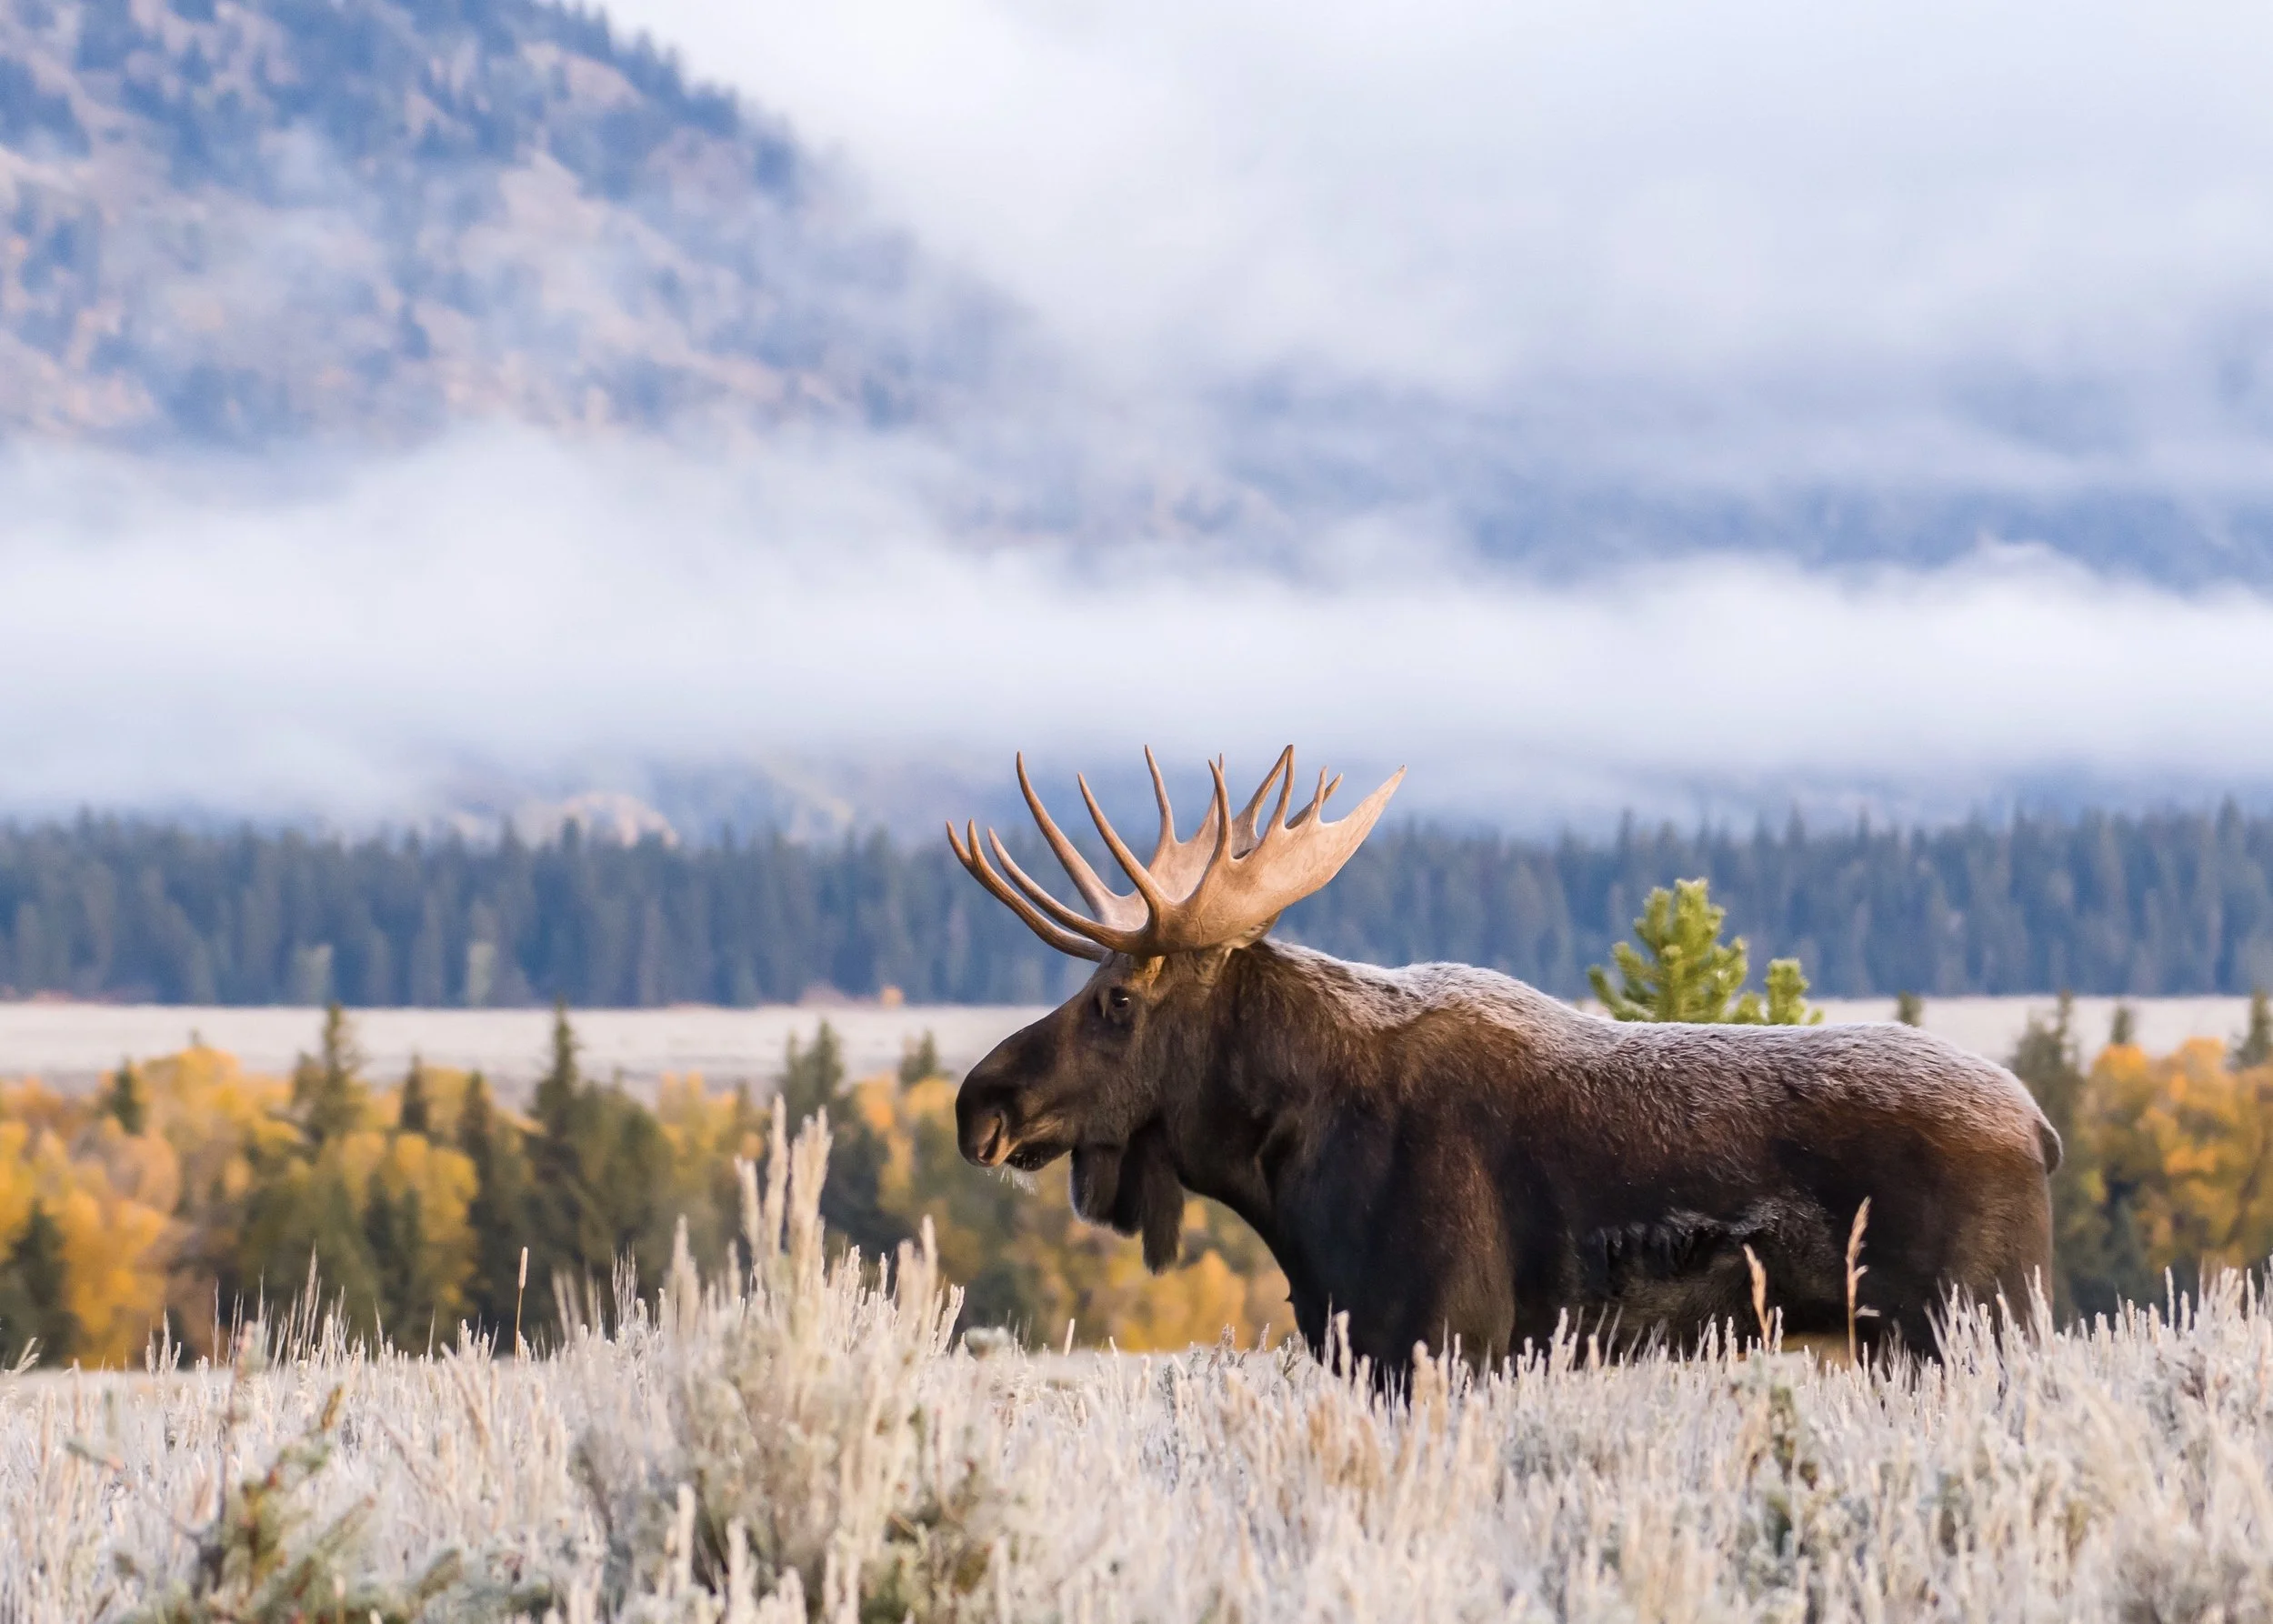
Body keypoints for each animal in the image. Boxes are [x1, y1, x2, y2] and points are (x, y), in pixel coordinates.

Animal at [948, 749, 2060, 1375]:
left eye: (1118, 999)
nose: (977, 1103)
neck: (1287, 1175)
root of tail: (2043, 1131)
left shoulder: (1439, 1336)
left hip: (1971, 1328)